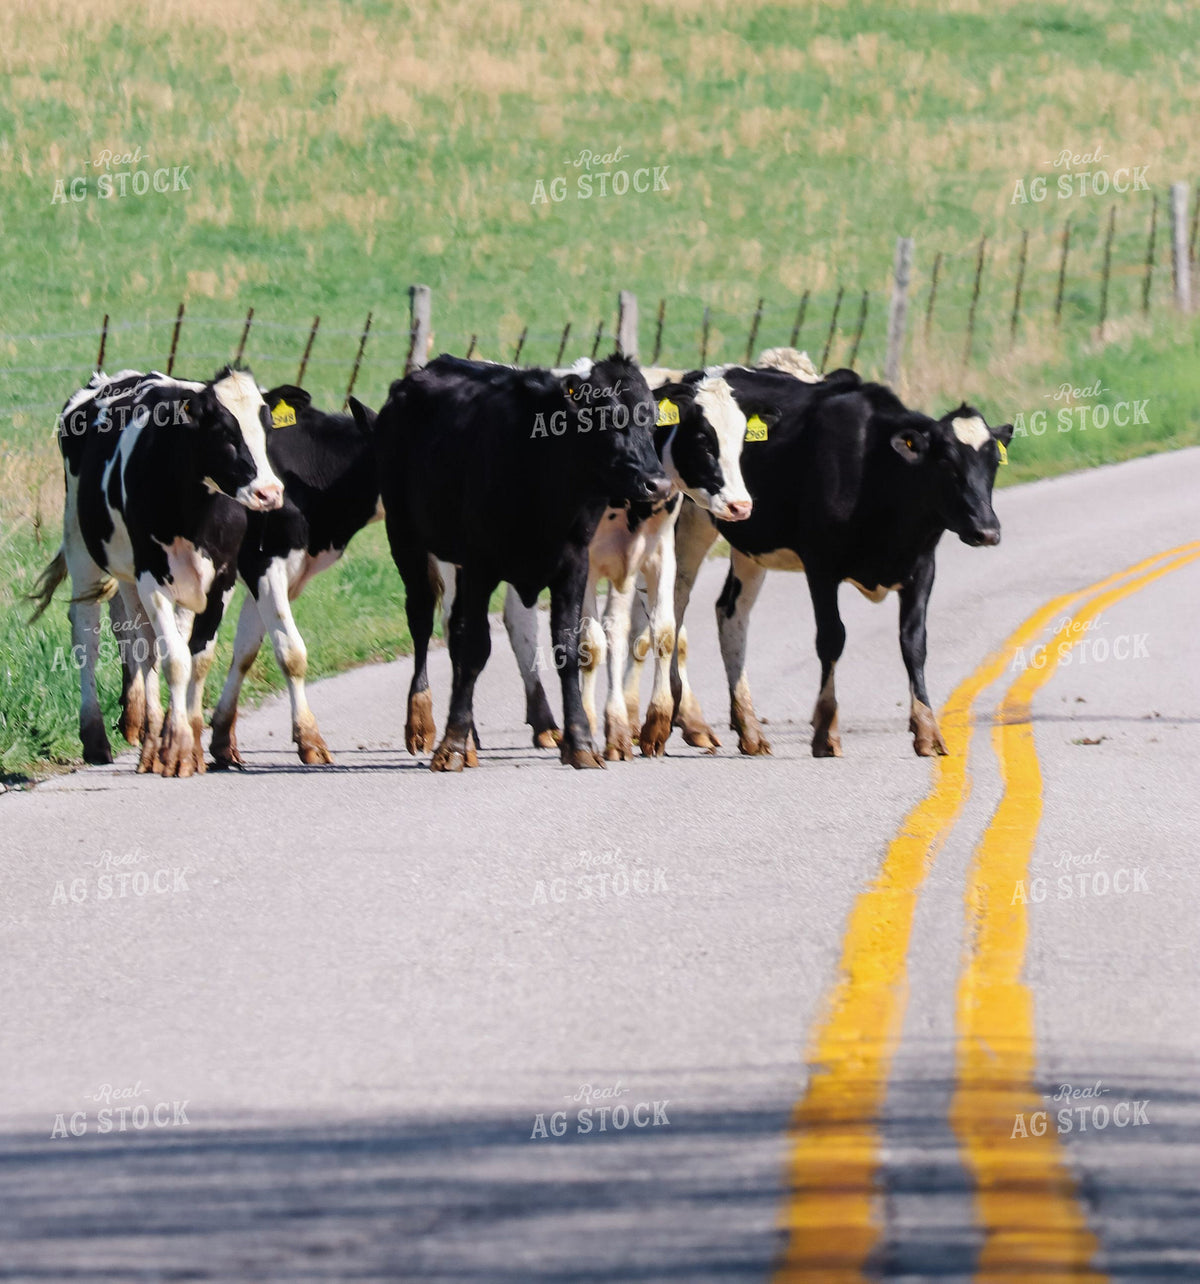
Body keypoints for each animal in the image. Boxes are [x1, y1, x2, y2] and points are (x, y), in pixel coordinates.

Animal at [30, 366, 284, 777]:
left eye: (269, 428)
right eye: (224, 432)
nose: (269, 493)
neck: (196, 512)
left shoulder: (221, 579)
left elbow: (198, 659)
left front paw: (186, 744)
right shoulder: (151, 575)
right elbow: (175, 660)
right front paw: (176, 750)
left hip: (137, 576)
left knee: (140, 641)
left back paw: (146, 732)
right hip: (81, 546)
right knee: (89, 634)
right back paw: (97, 738)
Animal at [204, 386, 381, 768]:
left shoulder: (267, 576)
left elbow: (245, 652)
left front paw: (222, 740)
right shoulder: (265, 565)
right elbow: (291, 652)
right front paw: (309, 740)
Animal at [374, 353, 669, 771]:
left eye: (652, 418)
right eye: (607, 417)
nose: (657, 484)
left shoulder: (573, 566)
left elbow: (567, 649)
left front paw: (580, 742)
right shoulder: (480, 564)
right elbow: (476, 647)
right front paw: (452, 745)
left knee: (453, 629)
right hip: (407, 539)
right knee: (421, 621)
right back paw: (422, 721)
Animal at [500, 372, 752, 759]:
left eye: (740, 442)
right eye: (704, 441)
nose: (741, 505)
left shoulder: (654, 554)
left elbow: (656, 632)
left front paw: (652, 725)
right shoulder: (588, 563)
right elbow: (592, 643)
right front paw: (596, 726)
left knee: (519, 618)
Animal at [668, 368, 1012, 758]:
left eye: (993, 463)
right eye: (946, 462)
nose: (987, 530)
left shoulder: (923, 566)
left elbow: (914, 642)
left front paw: (927, 729)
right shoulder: (821, 565)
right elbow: (832, 638)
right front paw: (825, 732)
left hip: (749, 541)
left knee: (730, 613)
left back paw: (749, 729)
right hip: (690, 523)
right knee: (676, 606)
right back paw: (688, 720)